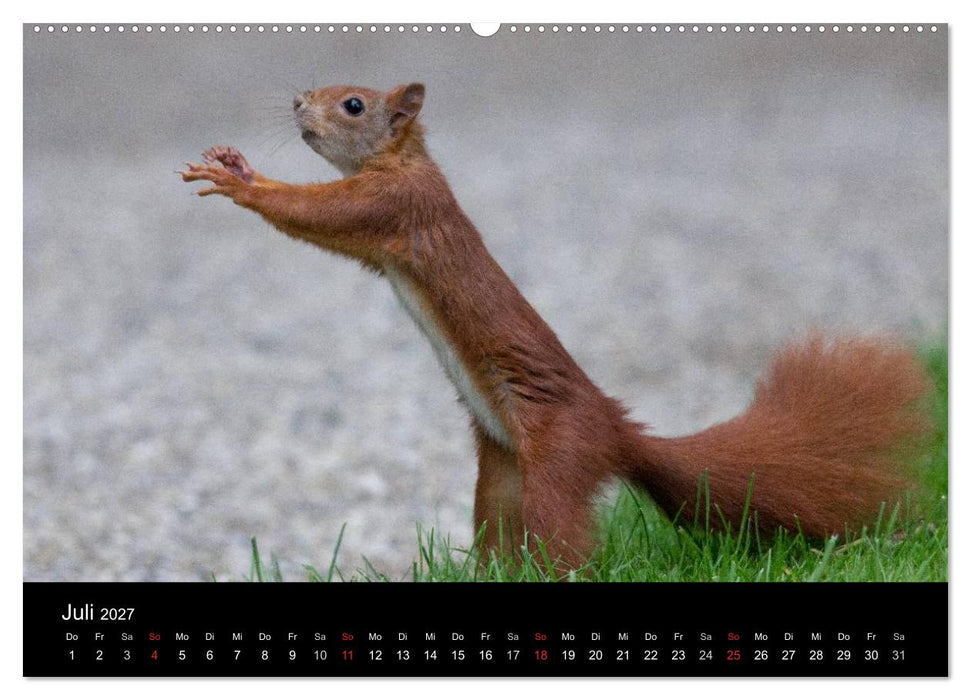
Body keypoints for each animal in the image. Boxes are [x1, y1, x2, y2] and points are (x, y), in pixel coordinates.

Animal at [180, 82, 931, 570]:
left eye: (354, 104)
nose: (296, 101)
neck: (403, 160)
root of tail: (617, 432)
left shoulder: (394, 204)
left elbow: (316, 213)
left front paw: (242, 180)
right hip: (500, 476)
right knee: (499, 538)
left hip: (557, 464)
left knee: (563, 549)